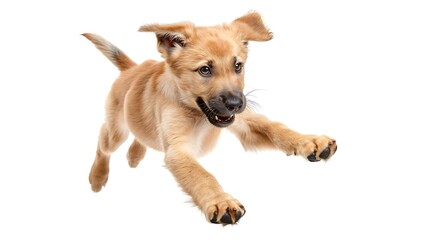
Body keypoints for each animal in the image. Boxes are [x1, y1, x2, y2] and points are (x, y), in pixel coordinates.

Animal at [83, 11, 334, 225]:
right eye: (205, 70)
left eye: (238, 66)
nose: (235, 104)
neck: (197, 114)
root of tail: (132, 69)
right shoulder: (179, 150)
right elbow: (202, 175)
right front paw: (221, 201)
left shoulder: (244, 124)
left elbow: (275, 127)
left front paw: (309, 141)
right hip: (116, 130)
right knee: (103, 144)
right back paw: (97, 177)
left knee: (142, 136)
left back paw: (135, 155)